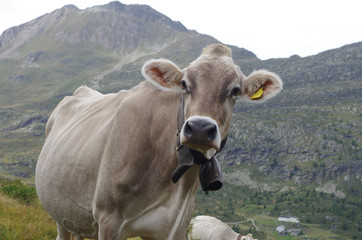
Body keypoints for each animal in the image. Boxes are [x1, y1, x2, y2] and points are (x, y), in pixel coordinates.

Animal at [34, 43, 282, 240]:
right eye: (184, 84)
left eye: (235, 90)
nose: (200, 128)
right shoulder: (108, 219)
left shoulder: (175, 229)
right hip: (59, 211)